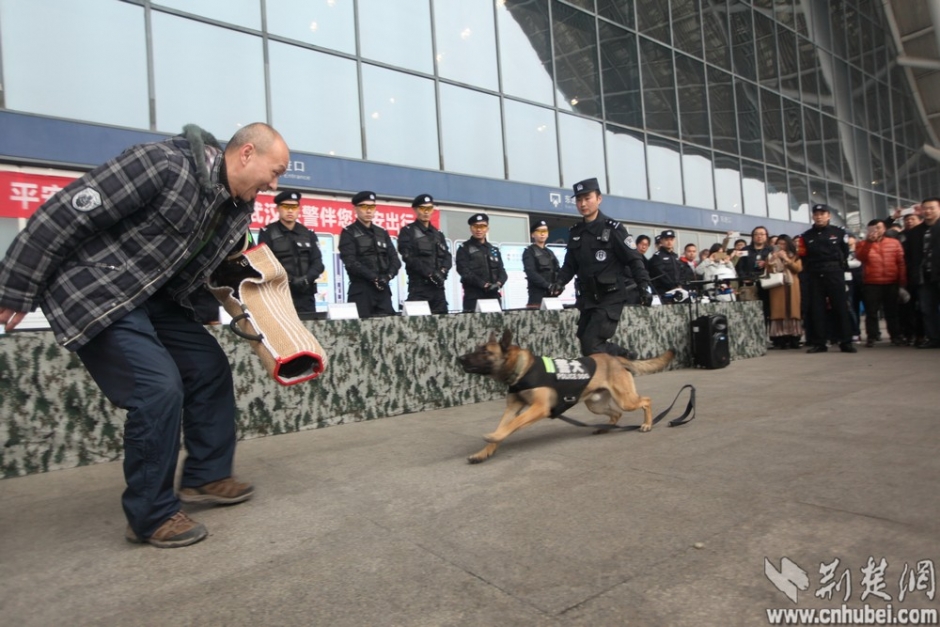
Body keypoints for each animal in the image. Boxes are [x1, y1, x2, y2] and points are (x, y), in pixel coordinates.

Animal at [458, 332, 672, 464]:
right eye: (477, 348)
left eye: (485, 352)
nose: (460, 358)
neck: (521, 369)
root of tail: (614, 358)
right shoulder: (512, 408)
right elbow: (504, 426)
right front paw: (483, 452)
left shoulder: (538, 408)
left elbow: (512, 425)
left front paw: (493, 436)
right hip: (595, 405)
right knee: (616, 414)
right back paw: (605, 428)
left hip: (625, 400)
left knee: (646, 401)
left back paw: (647, 424)